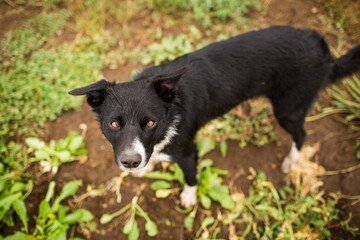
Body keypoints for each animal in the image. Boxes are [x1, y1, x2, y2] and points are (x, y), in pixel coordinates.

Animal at [70, 25, 360, 206]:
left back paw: (291, 161)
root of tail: (319, 44)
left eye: (150, 122)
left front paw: (189, 197)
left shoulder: (188, 151)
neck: (171, 108)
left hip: (288, 108)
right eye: (114, 123)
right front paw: (147, 166)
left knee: (302, 133)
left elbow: (190, 176)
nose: (130, 162)